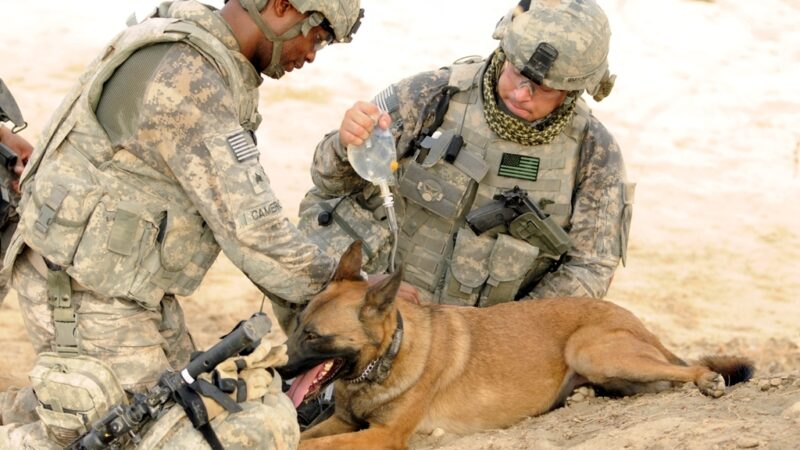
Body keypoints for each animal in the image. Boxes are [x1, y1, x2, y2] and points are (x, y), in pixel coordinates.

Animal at [282, 243, 756, 450]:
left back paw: (706, 380)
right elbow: (305, 433)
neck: (385, 359)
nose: (280, 372)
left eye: (314, 335)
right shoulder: (344, 423)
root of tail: (635, 320)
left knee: (680, 371)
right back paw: (582, 397)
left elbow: (309, 445)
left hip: (590, 350)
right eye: (298, 325)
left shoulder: (383, 436)